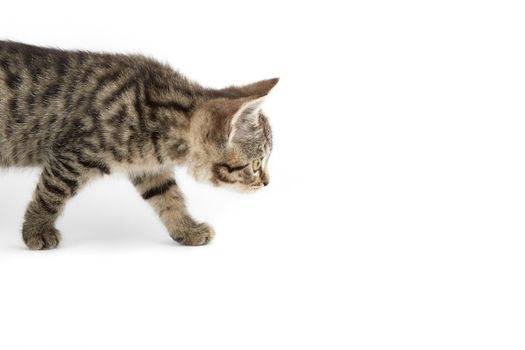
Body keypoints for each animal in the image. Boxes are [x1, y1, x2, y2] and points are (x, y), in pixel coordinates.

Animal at [0, 40, 276, 249]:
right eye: (256, 164)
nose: (267, 183)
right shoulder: (72, 155)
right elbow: (51, 193)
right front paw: (36, 229)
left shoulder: (150, 168)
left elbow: (170, 198)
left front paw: (186, 229)